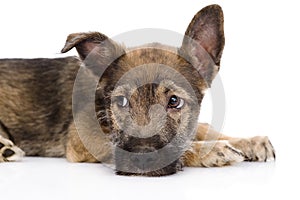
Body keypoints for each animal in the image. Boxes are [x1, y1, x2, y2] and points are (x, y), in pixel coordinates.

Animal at [0, 4, 274, 176]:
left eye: (174, 101)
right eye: (121, 102)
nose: (141, 159)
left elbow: (202, 127)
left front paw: (248, 141)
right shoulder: (82, 139)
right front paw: (210, 150)